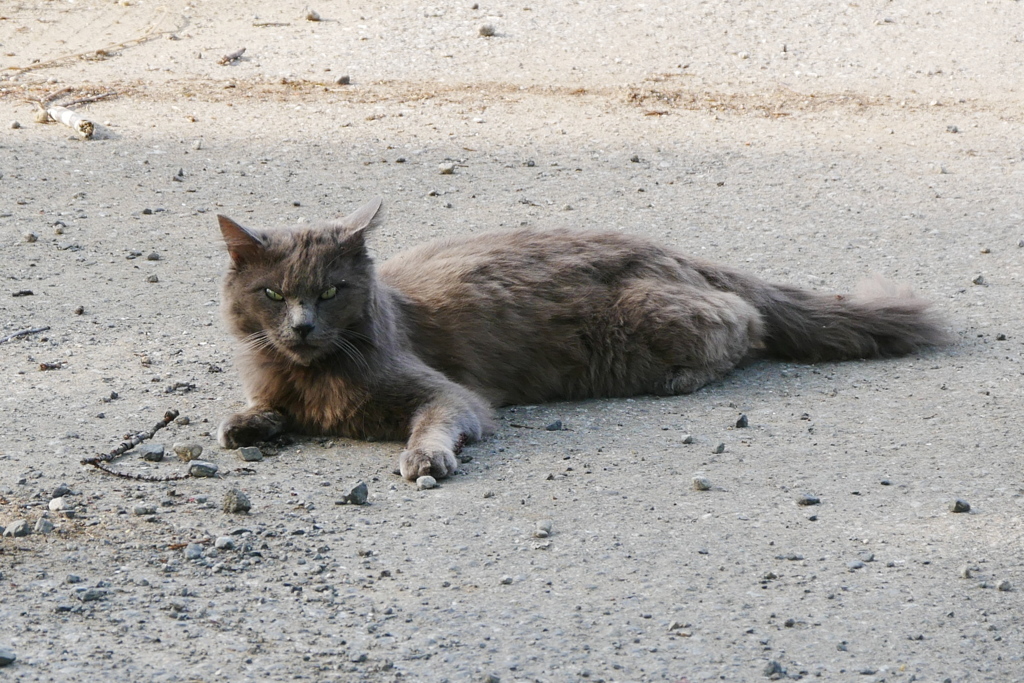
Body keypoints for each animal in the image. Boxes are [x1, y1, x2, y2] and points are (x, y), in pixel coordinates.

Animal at [216, 198, 950, 481]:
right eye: (274, 295)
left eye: (331, 292)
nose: (303, 326)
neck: (314, 374)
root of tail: (674, 251)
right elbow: (259, 408)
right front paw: (246, 423)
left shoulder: (450, 394)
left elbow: (437, 420)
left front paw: (424, 458)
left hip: (651, 319)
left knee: (744, 321)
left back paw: (682, 377)